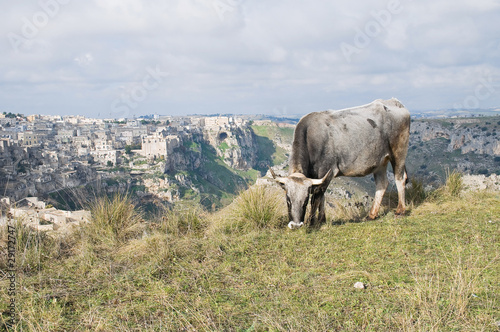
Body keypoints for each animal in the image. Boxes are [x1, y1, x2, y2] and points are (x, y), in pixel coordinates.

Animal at [270, 97, 410, 230]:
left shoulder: (326, 171)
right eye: (288, 199)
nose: (295, 225)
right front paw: (322, 220)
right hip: (380, 162)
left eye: (305, 201)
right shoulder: (319, 177)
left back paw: (400, 211)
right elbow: (322, 198)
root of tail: (395, 102)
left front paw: (312, 222)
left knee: (400, 179)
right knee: (382, 184)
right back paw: (371, 215)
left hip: (399, 152)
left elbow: (317, 198)